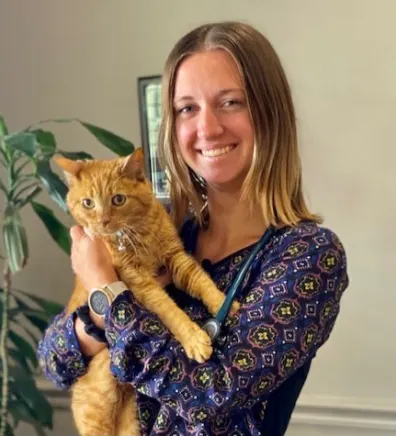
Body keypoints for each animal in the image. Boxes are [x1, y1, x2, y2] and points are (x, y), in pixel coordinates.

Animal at [53, 148, 237, 434]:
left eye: (118, 199)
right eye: (87, 203)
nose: (103, 222)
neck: (138, 232)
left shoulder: (177, 259)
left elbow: (202, 281)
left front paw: (222, 302)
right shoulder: (140, 282)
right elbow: (169, 310)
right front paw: (194, 339)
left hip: (130, 420)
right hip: (99, 412)